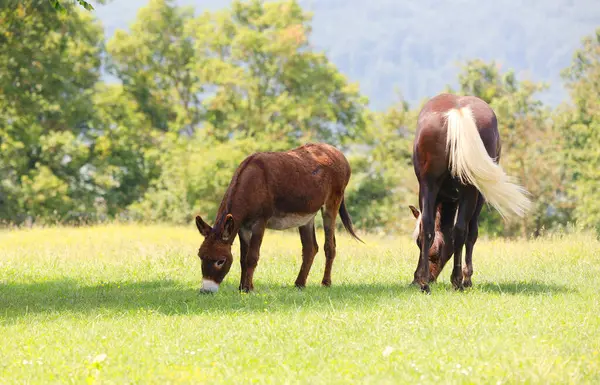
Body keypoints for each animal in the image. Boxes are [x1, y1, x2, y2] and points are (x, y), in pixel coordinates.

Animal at [195, 142, 360, 292]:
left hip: (331, 204)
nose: (206, 291)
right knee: (310, 248)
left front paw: (248, 289)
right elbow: (243, 258)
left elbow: (252, 257)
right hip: (307, 216)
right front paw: (243, 287)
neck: (251, 183)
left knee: (329, 246)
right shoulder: (242, 227)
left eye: (220, 261)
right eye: (201, 256)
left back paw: (325, 283)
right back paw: (299, 284)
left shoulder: (260, 222)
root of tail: (335, 151)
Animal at [408, 93, 528, 292]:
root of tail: (457, 112)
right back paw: (456, 280)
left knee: (429, 226)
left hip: (428, 184)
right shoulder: (479, 196)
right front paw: (467, 278)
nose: (431, 277)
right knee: (461, 230)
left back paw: (425, 283)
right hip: (471, 190)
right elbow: (471, 233)